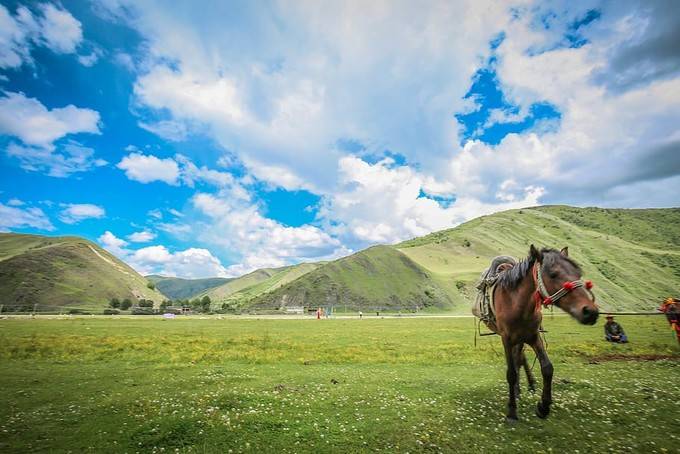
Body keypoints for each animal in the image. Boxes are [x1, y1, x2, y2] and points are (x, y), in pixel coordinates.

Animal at [488, 245, 596, 422]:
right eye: (553, 274)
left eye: (578, 274)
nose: (590, 312)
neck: (517, 303)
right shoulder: (507, 339)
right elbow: (511, 373)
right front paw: (512, 412)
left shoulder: (533, 336)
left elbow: (547, 368)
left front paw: (543, 407)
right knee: (518, 360)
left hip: (521, 338)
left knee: (520, 359)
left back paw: (526, 386)